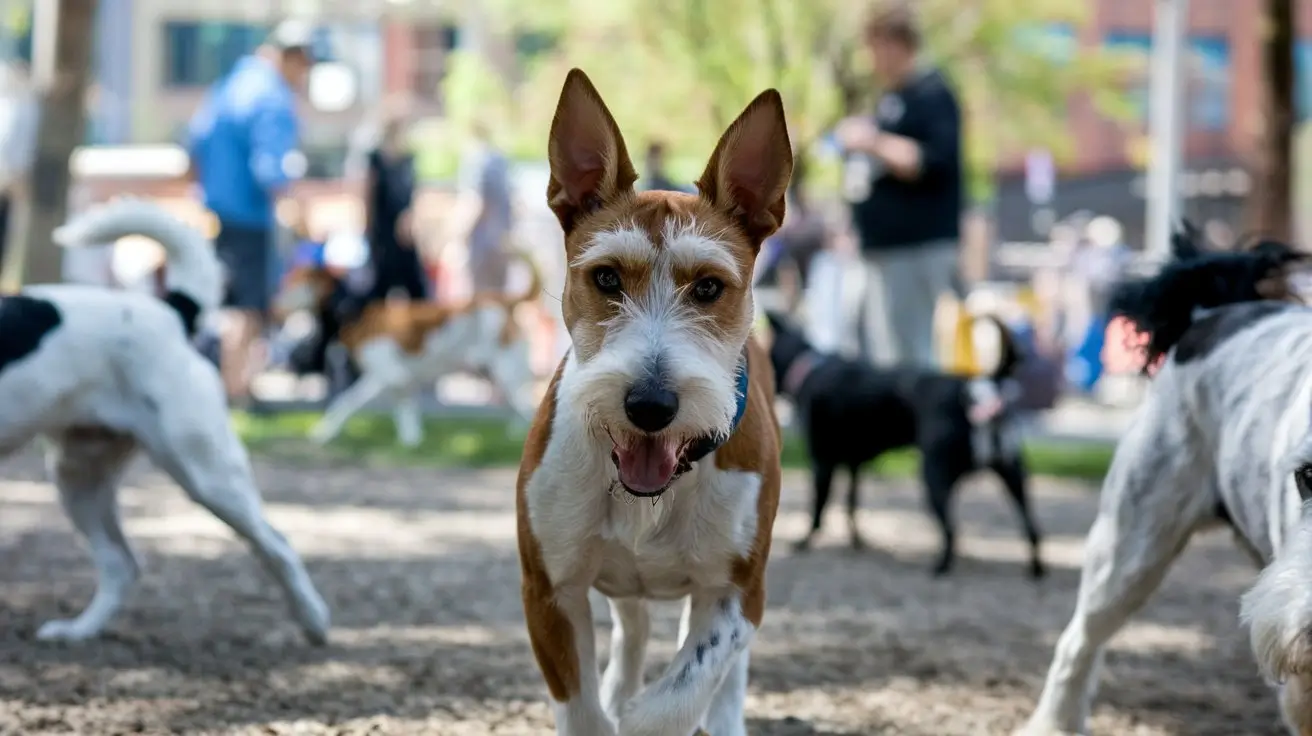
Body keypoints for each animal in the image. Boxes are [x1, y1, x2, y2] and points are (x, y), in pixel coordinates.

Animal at [514, 68, 787, 734]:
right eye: (607, 277)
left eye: (709, 287)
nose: (650, 404)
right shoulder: (549, 588)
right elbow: (583, 709)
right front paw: (610, 705)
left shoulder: (738, 590)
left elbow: (685, 689)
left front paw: (654, 713)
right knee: (632, 621)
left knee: (723, 669)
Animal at [766, 306, 1039, 577]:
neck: (810, 365)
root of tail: (975, 392)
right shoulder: (854, 465)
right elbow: (851, 505)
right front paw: (857, 541)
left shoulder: (822, 463)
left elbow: (818, 510)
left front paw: (804, 542)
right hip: (1014, 477)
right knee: (1032, 528)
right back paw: (1036, 569)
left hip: (934, 476)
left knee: (951, 530)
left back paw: (939, 568)